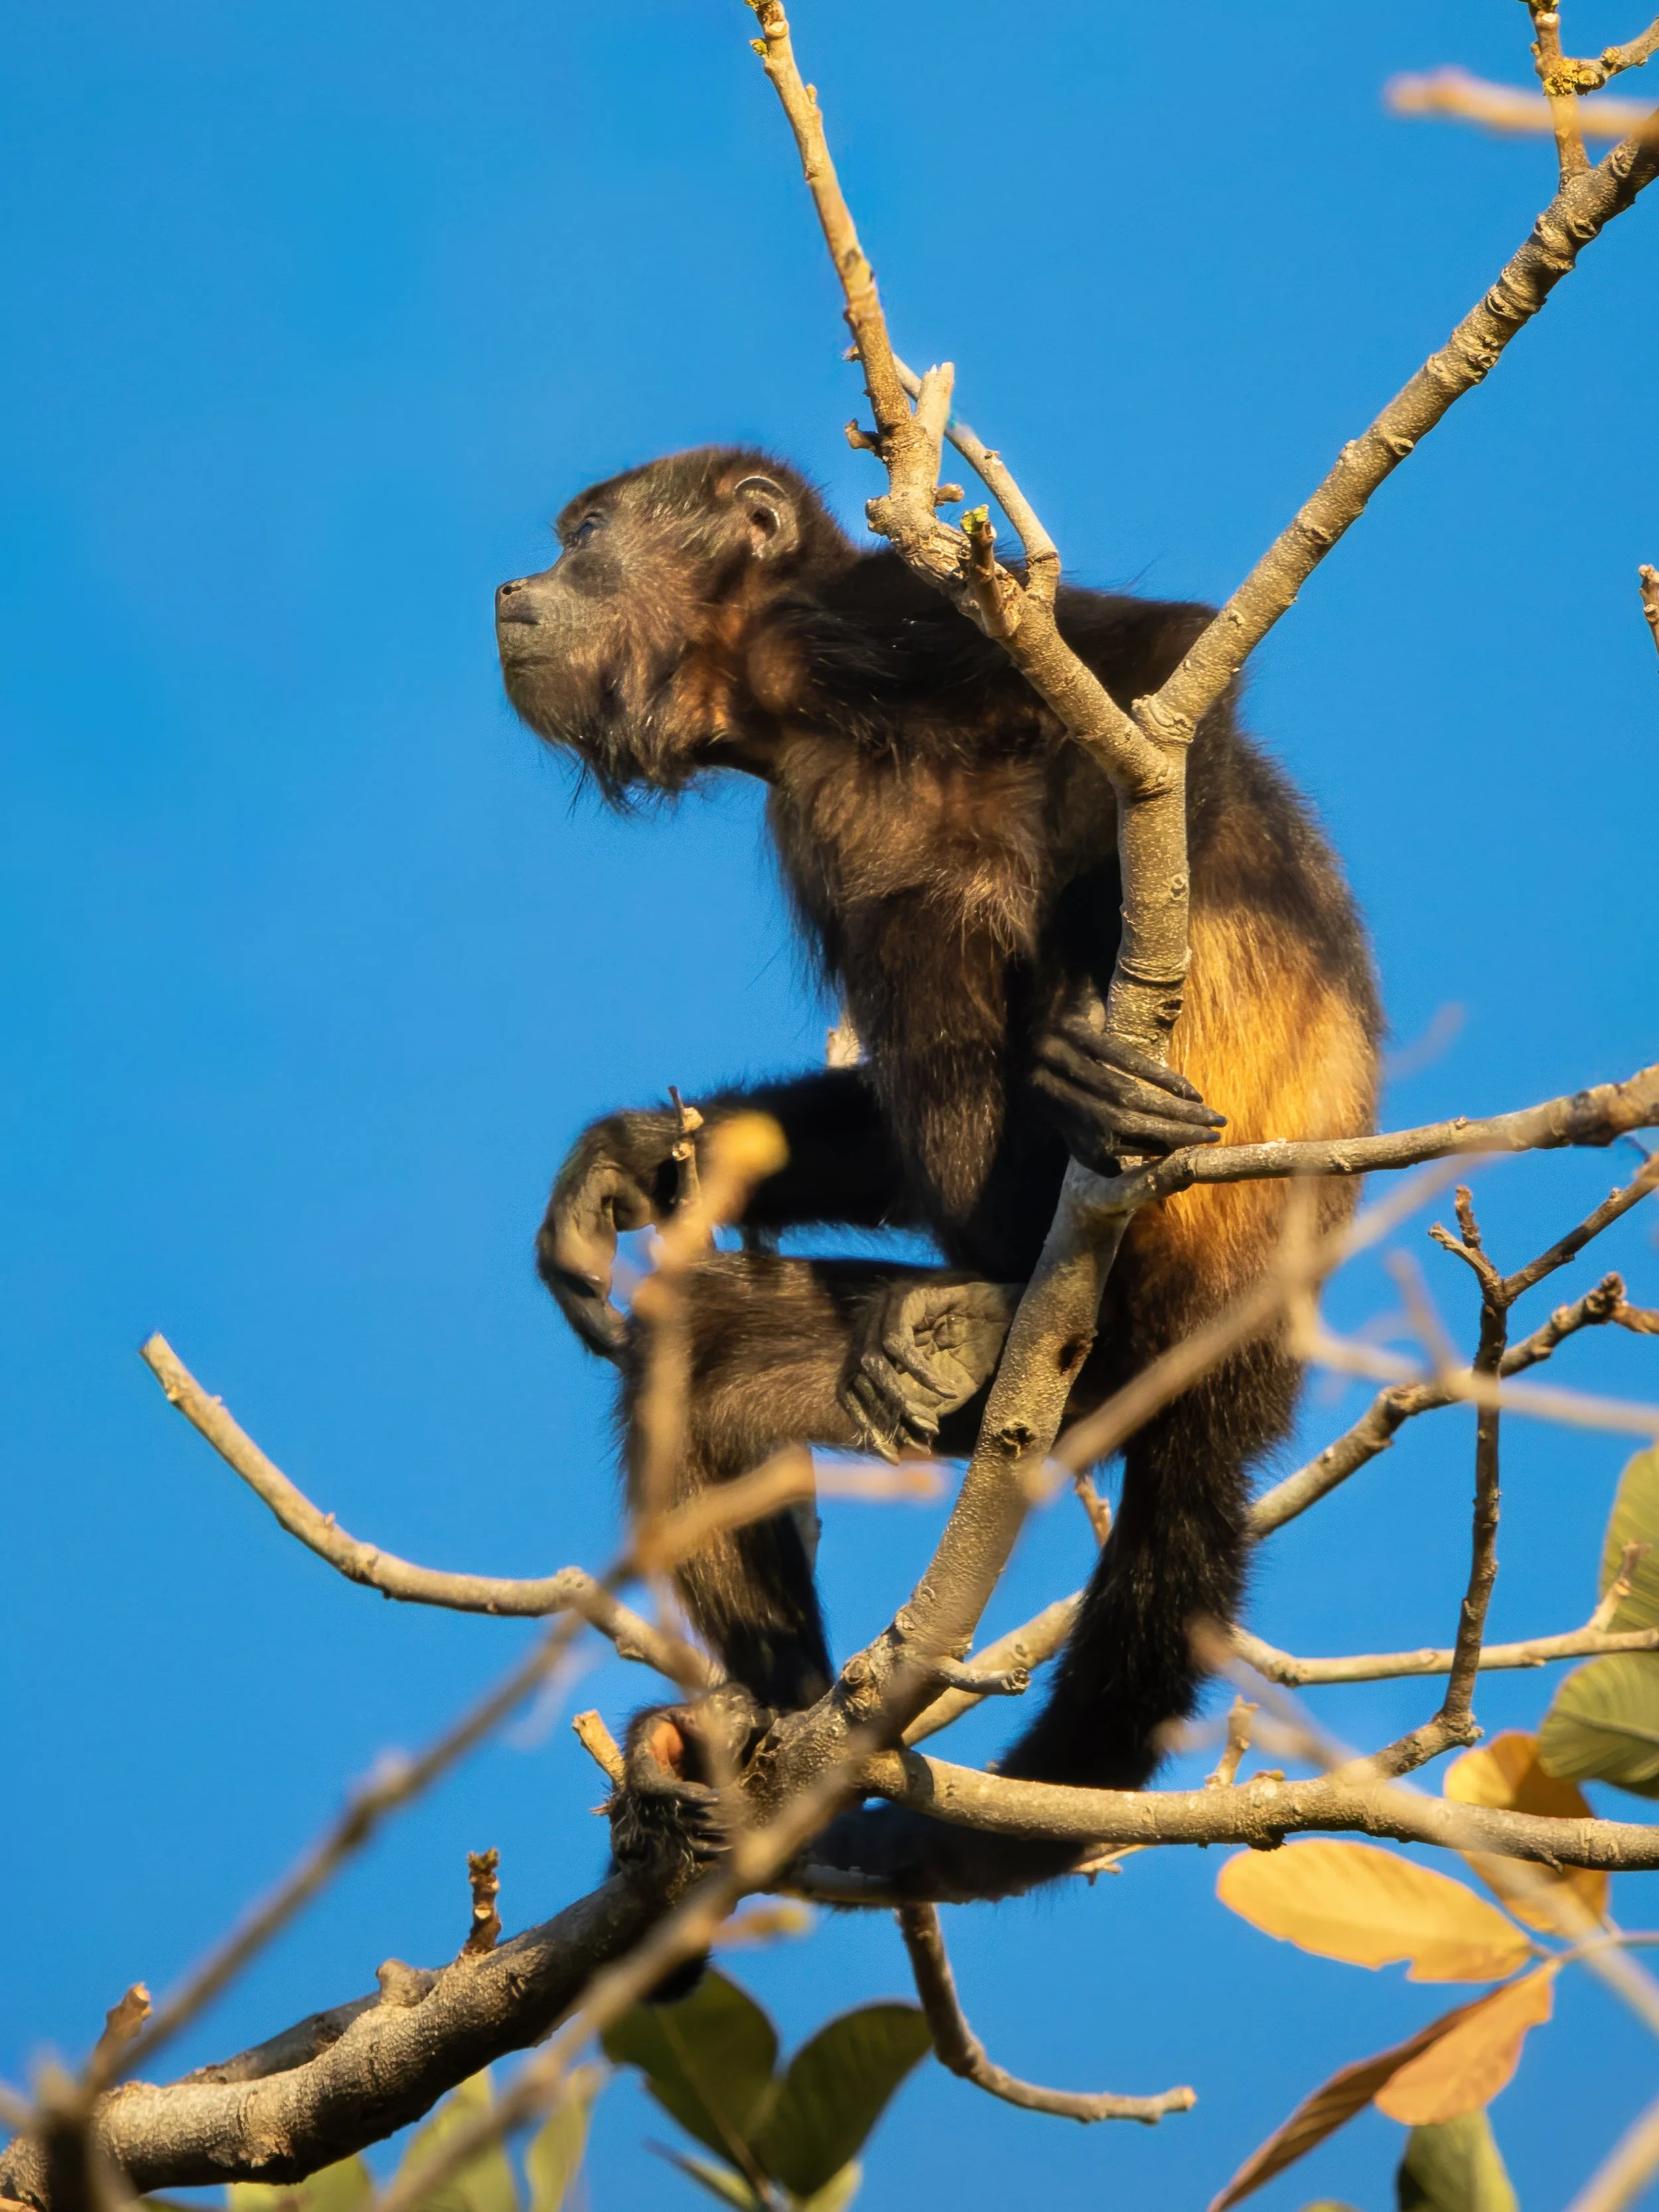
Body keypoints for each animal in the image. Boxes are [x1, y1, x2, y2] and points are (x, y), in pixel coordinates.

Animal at [495, 446, 1380, 1900]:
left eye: (586, 534)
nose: (513, 584)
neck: (777, 703)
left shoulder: (886, 617)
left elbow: (1156, 673)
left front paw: (1087, 1034)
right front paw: (622, 1158)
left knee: (946, 907)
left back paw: (1016, 1254)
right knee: (700, 1345)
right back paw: (761, 1719)